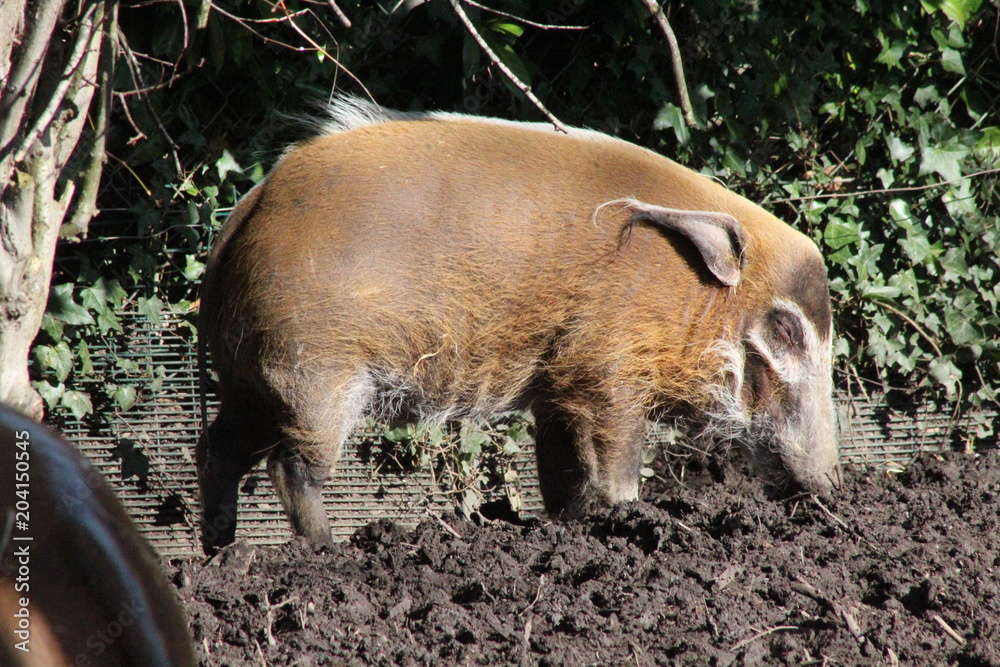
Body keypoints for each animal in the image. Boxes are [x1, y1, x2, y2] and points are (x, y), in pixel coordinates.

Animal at [196, 97, 839, 552]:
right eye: (787, 331)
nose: (829, 487)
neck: (685, 292)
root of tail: (250, 207)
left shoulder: (557, 386)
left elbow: (558, 473)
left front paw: (566, 529)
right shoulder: (609, 372)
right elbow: (616, 470)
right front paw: (625, 519)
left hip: (252, 380)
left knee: (216, 449)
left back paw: (221, 553)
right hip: (315, 372)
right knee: (291, 467)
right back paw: (327, 553)